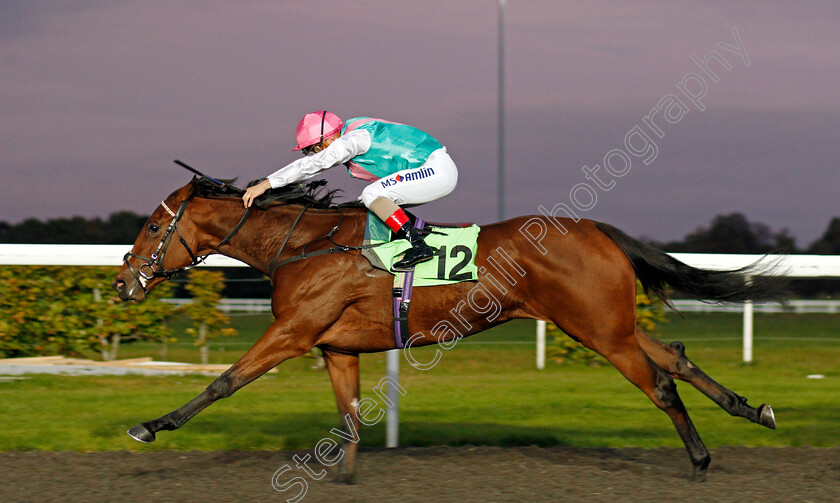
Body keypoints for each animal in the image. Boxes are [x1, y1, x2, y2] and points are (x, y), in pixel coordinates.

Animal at [110, 177, 780, 484]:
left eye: (153, 226)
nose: (121, 284)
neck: (302, 246)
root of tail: (595, 228)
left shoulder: (295, 332)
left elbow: (223, 382)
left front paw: (150, 426)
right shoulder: (336, 346)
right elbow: (348, 412)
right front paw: (345, 472)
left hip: (599, 330)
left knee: (661, 385)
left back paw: (700, 459)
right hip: (607, 322)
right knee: (676, 356)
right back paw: (753, 409)